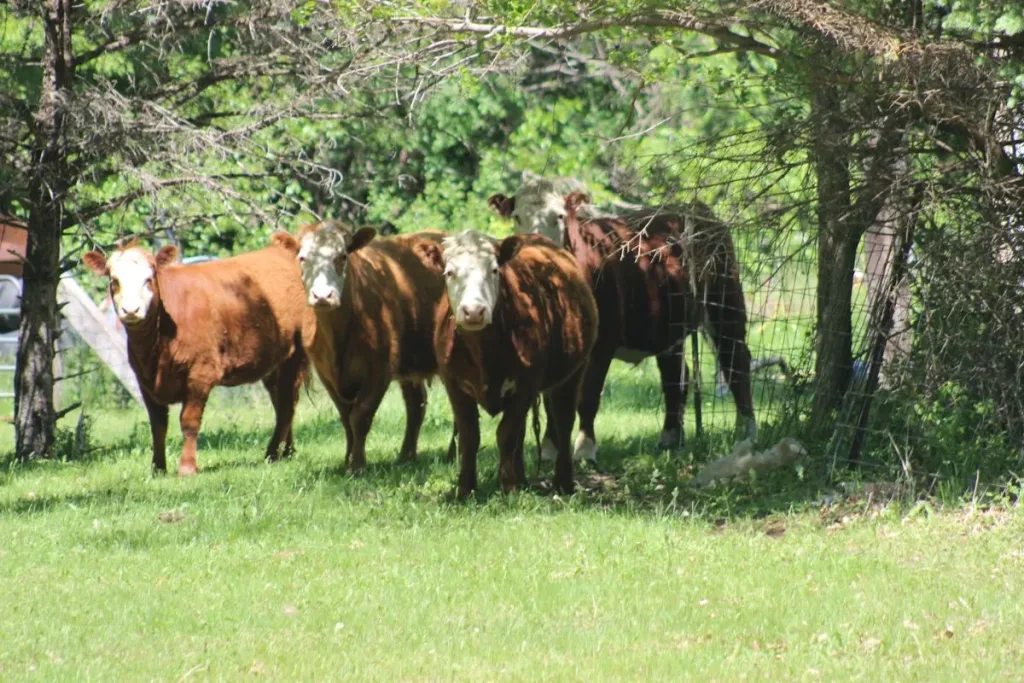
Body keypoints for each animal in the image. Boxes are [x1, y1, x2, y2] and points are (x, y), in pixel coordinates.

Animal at [81, 238, 311, 476]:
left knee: (286, 404)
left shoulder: (201, 372)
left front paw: (187, 467)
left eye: (149, 278)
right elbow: (157, 426)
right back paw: (287, 451)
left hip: (294, 355)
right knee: (281, 401)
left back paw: (273, 453)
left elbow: (189, 421)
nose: (131, 310)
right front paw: (158, 468)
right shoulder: (144, 381)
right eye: (114, 280)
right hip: (273, 361)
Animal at [272, 221, 452, 472]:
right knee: (416, 404)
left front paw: (357, 465)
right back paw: (406, 457)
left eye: (342, 256)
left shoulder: (380, 369)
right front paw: (347, 460)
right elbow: (346, 418)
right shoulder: (326, 373)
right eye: (302, 258)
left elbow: (360, 416)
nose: (322, 296)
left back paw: (453, 453)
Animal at [416, 230, 599, 498]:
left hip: (573, 372)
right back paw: (522, 479)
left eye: (494, 270)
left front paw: (507, 488)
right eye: (449, 272)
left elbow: (506, 434)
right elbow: (470, 436)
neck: (483, 351)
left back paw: (562, 483)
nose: (474, 311)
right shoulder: (454, 384)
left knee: (563, 422)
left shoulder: (527, 383)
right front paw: (465, 490)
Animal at [488, 172, 756, 464]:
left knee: (736, 361)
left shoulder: (603, 342)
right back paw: (670, 437)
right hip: (669, 324)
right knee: (676, 377)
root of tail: (695, 209)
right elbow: (551, 399)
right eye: (517, 217)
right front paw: (550, 449)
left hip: (725, 302)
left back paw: (746, 427)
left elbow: (588, 395)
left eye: (559, 215)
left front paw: (585, 449)